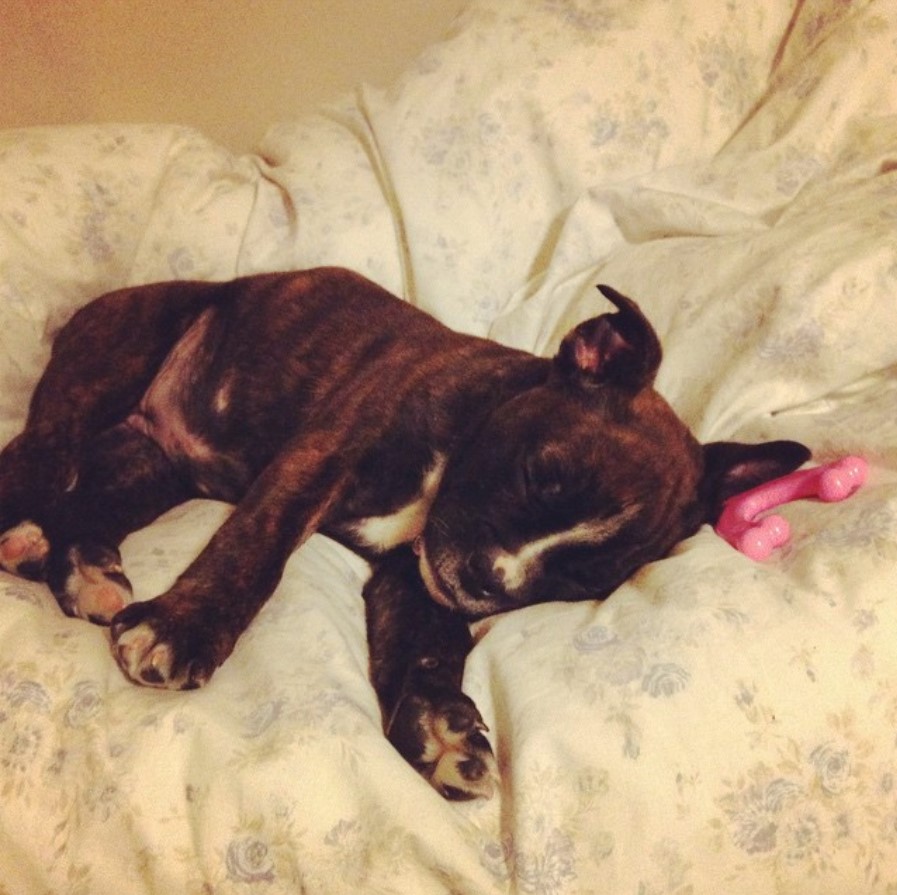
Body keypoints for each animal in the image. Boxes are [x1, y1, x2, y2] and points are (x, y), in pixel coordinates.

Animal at [0, 270, 808, 800]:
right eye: (538, 474)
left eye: (584, 577)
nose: (488, 580)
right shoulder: (323, 457)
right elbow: (256, 545)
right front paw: (183, 628)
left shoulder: (415, 577)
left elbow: (422, 647)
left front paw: (443, 731)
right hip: (102, 379)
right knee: (38, 464)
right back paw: (34, 537)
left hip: (152, 465)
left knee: (86, 504)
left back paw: (85, 569)